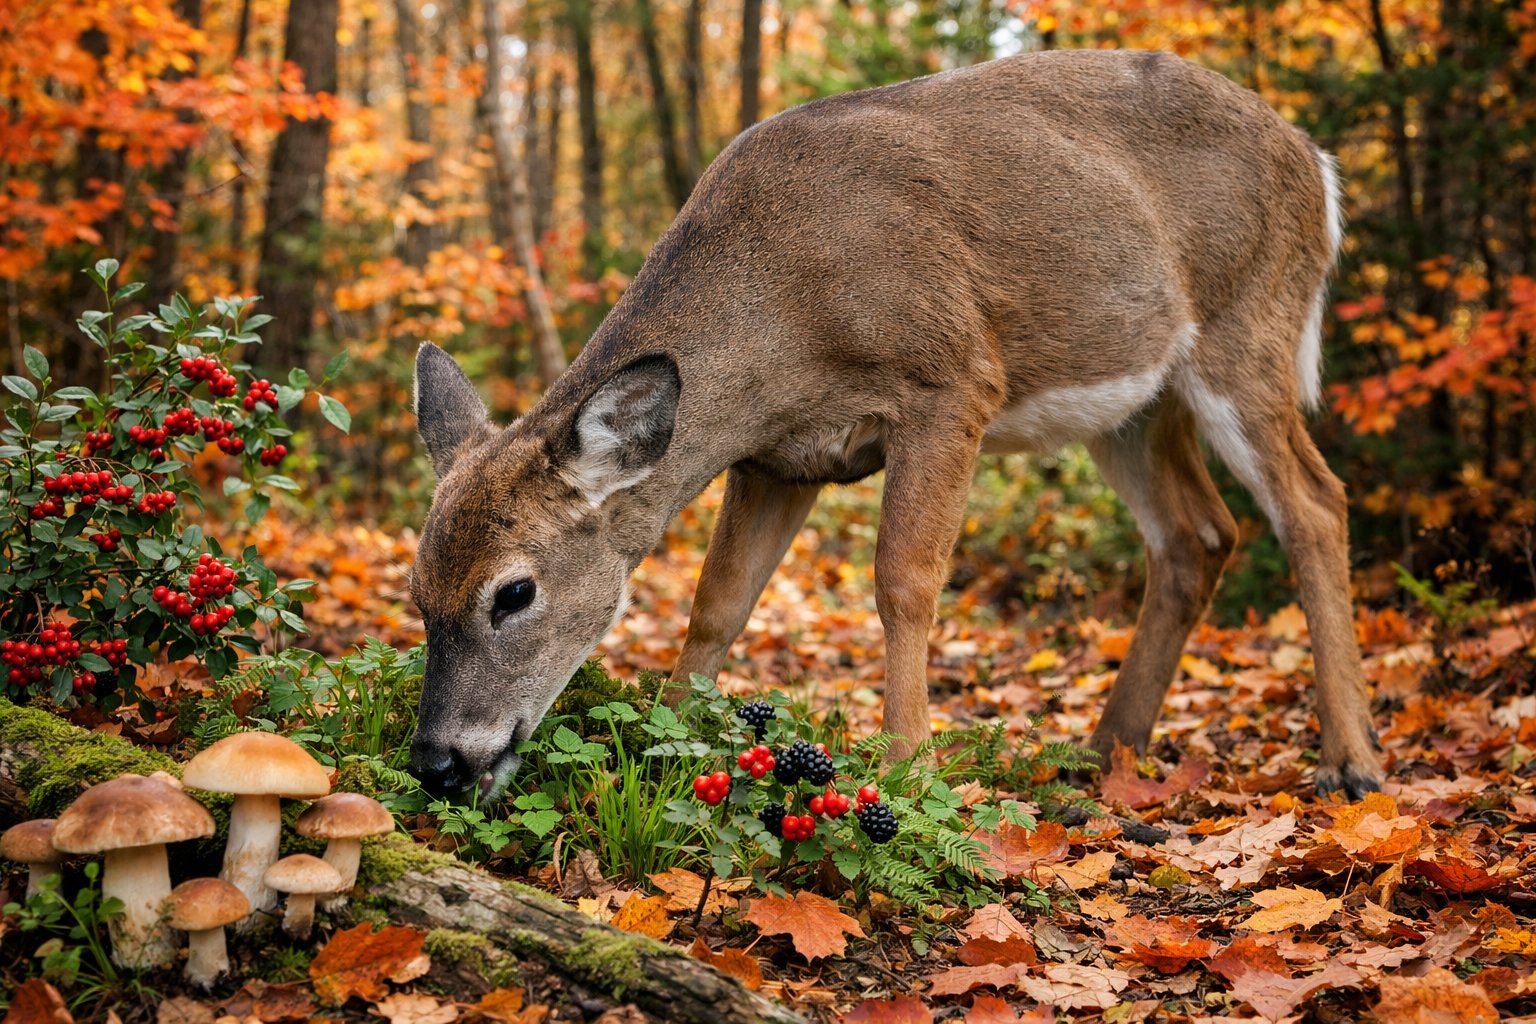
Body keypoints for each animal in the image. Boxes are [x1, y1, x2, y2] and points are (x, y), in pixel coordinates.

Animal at [406, 47, 1383, 803]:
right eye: (418, 593)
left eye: (513, 592)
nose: (437, 762)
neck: (787, 308)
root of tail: (1318, 163)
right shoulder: (777, 457)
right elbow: (720, 602)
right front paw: (668, 741)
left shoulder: (951, 380)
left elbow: (904, 581)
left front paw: (910, 768)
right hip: (1130, 398)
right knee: (1198, 534)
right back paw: (1104, 751)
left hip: (1249, 325)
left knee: (1314, 502)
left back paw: (1353, 762)